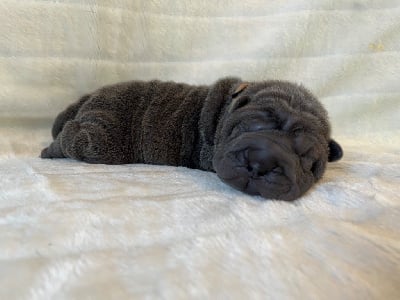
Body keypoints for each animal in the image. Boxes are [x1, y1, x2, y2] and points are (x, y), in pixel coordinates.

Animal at [40, 77, 342, 200]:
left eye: (306, 159)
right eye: (253, 126)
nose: (261, 163)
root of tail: (91, 96)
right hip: (103, 135)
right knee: (73, 135)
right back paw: (51, 149)